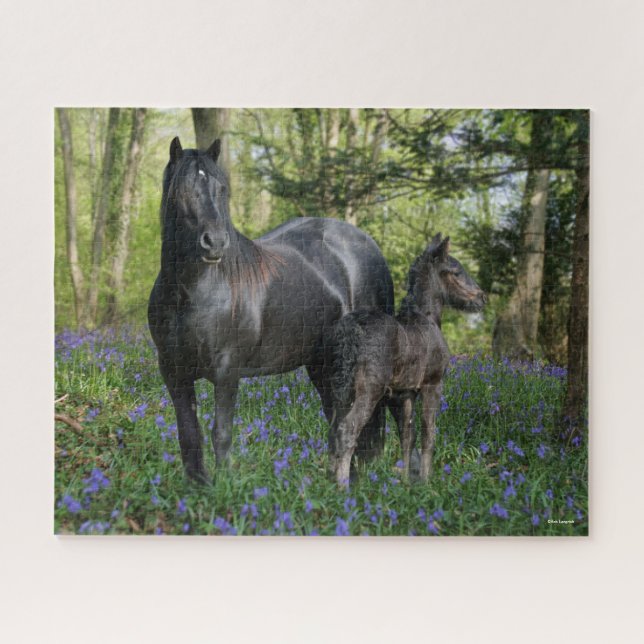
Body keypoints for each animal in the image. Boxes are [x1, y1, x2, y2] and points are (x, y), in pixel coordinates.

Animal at [148, 137, 394, 482]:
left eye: (221, 188)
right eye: (183, 188)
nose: (215, 242)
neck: (194, 292)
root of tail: (368, 245)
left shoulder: (227, 370)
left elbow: (221, 433)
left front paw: (224, 486)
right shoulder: (173, 371)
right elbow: (189, 435)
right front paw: (199, 487)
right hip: (321, 363)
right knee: (338, 420)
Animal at [321, 234, 486, 485]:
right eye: (457, 271)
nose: (481, 297)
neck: (429, 318)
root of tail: (351, 333)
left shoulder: (405, 392)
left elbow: (408, 435)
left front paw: (406, 481)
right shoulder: (433, 384)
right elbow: (429, 433)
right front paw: (426, 481)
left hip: (340, 389)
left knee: (334, 428)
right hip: (369, 390)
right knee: (348, 429)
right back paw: (343, 485)